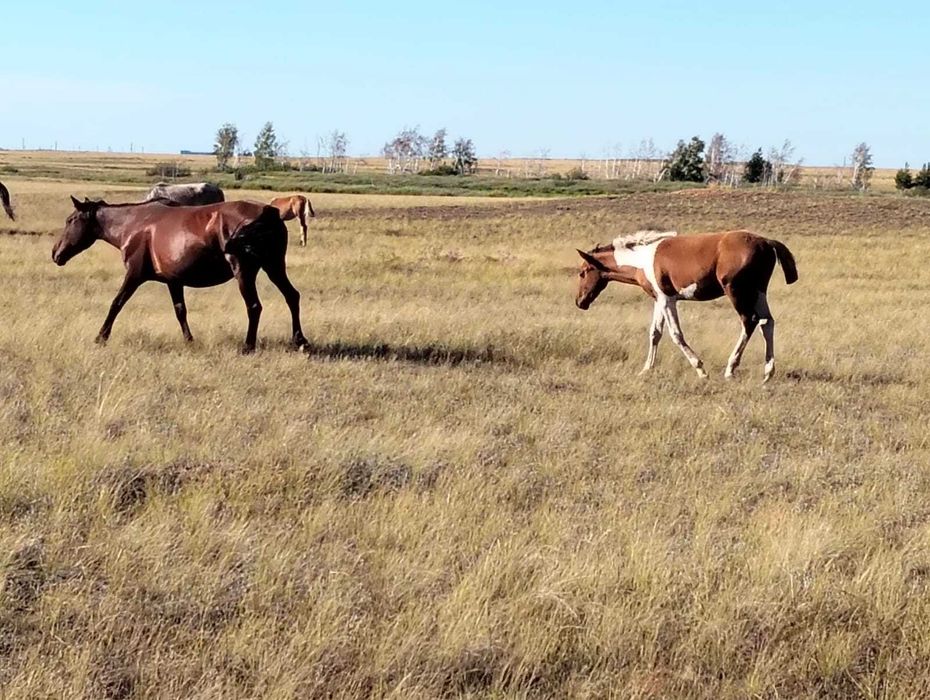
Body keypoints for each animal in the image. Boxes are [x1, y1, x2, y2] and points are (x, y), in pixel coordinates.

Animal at [51, 196, 308, 353]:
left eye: (70, 220)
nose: (56, 253)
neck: (134, 225)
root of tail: (269, 213)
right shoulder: (173, 281)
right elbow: (180, 311)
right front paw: (189, 341)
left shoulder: (134, 275)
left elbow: (116, 304)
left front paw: (101, 337)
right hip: (274, 266)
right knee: (292, 296)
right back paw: (300, 341)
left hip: (244, 272)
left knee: (254, 306)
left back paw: (248, 346)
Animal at [575, 229, 798, 382]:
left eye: (583, 272)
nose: (580, 302)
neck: (644, 259)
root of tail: (766, 242)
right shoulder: (659, 299)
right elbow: (655, 333)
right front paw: (646, 369)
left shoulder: (667, 299)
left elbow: (676, 335)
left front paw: (700, 369)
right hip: (759, 293)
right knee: (767, 323)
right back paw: (768, 373)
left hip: (737, 292)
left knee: (749, 322)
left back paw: (730, 369)